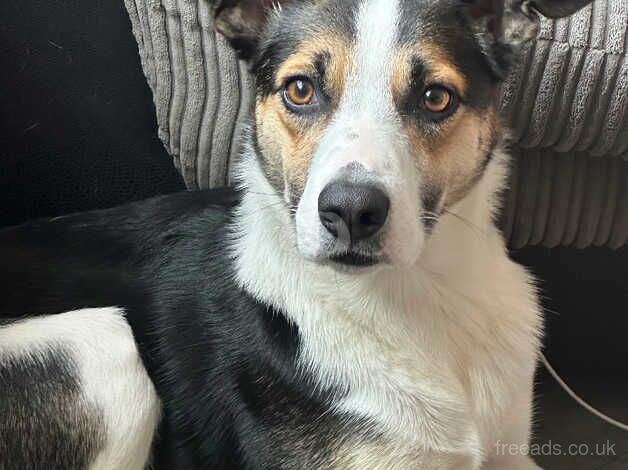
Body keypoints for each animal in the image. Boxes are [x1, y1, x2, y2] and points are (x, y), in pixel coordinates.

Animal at [0, 0, 596, 468]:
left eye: (435, 97)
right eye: (301, 89)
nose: (351, 211)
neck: (419, 294)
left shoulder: (511, 455)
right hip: (101, 348)